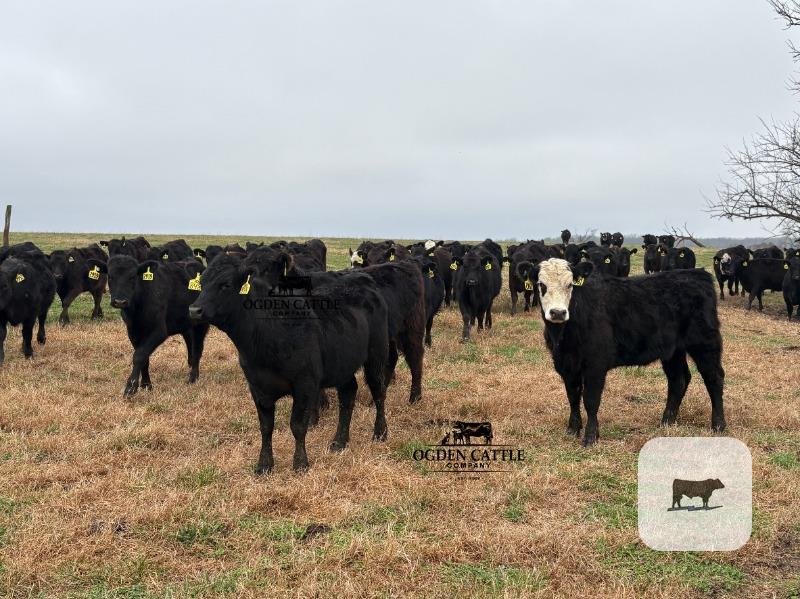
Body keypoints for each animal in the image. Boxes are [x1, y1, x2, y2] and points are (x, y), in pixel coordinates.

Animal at [89, 256, 209, 397]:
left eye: (133, 277)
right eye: (110, 276)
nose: (120, 301)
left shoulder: (159, 331)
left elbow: (139, 356)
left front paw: (131, 387)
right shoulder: (133, 332)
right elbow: (144, 358)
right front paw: (146, 384)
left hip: (201, 324)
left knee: (197, 350)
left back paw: (193, 378)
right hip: (185, 323)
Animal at [188, 255, 390, 473]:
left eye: (225, 285)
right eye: (202, 283)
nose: (194, 310)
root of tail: (363, 279)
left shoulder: (305, 384)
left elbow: (298, 426)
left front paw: (300, 463)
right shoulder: (257, 386)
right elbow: (266, 427)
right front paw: (264, 465)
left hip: (377, 356)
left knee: (379, 393)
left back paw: (380, 432)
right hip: (342, 363)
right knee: (348, 394)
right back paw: (339, 441)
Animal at [527, 258, 725, 447]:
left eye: (570, 285)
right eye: (541, 284)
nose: (558, 312)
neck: (564, 335)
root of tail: (698, 274)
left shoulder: (595, 364)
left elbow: (591, 400)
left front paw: (591, 437)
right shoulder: (566, 364)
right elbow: (573, 397)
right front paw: (572, 430)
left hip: (705, 342)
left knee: (714, 377)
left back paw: (718, 425)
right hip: (673, 350)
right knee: (679, 379)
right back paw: (667, 422)